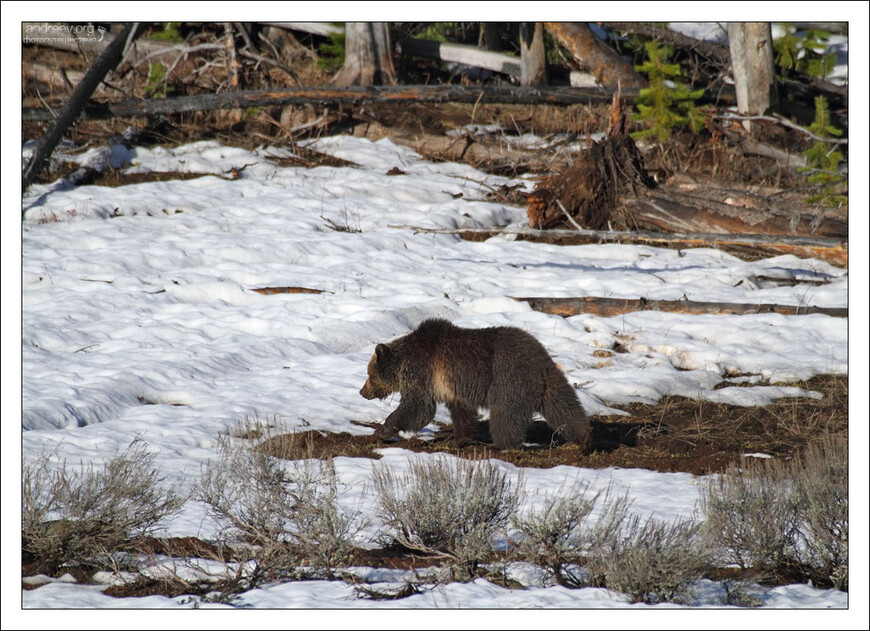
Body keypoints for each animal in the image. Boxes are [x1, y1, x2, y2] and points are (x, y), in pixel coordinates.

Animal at [360, 320, 592, 450]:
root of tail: (541, 360)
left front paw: (382, 430)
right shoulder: (453, 388)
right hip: (549, 384)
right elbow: (462, 413)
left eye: (369, 374)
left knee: (505, 415)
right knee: (565, 407)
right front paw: (456, 439)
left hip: (507, 378)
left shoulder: (421, 370)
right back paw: (582, 437)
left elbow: (418, 407)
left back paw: (499, 445)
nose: (362, 391)